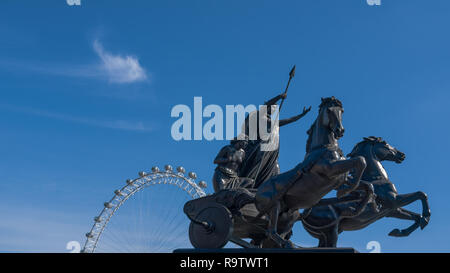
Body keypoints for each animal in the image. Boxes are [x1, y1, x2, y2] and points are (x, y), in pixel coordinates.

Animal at [253, 96, 370, 246]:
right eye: (329, 110)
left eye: (342, 111)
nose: (340, 131)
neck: (323, 148)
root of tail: (257, 193)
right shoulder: (330, 168)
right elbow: (360, 160)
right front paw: (344, 193)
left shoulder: (340, 179)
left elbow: (368, 185)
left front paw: (356, 208)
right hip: (274, 205)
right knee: (270, 232)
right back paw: (287, 244)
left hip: (289, 215)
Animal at [300, 136, 430, 246]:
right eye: (384, 143)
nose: (401, 155)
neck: (375, 179)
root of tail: (303, 213)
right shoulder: (393, 200)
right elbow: (421, 194)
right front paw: (426, 218)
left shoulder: (392, 210)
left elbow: (416, 216)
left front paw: (398, 232)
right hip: (331, 232)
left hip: (326, 234)